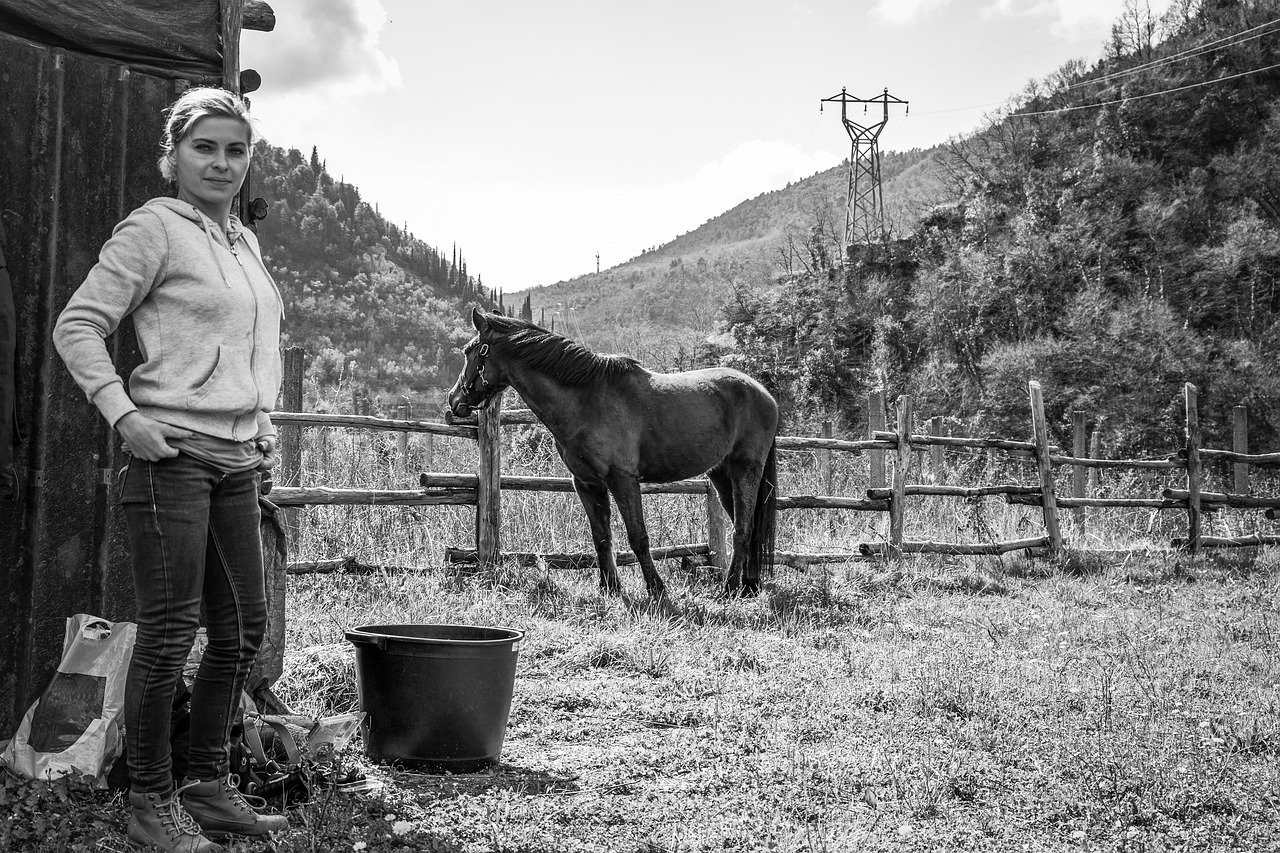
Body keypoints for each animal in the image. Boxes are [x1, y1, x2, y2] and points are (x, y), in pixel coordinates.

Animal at [447, 308, 778, 599]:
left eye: (469, 351)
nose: (454, 400)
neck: (586, 400)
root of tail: (763, 393)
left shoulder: (623, 480)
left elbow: (638, 537)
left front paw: (656, 588)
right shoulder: (587, 483)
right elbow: (602, 537)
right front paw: (610, 588)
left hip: (745, 470)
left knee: (743, 528)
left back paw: (731, 588)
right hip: (721, 474)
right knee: (745, 526)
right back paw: (749, 584)